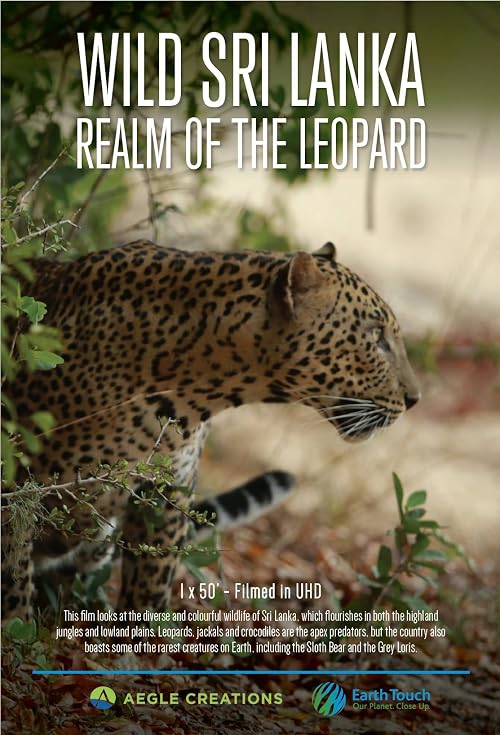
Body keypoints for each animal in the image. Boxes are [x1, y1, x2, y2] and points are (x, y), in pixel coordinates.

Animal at [1, 240, 420, 619]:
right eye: (376, 337)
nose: (414, 399)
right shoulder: (16, 482)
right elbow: (12, 572)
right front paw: (17, 631)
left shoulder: (167, 494)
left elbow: (150, 584)